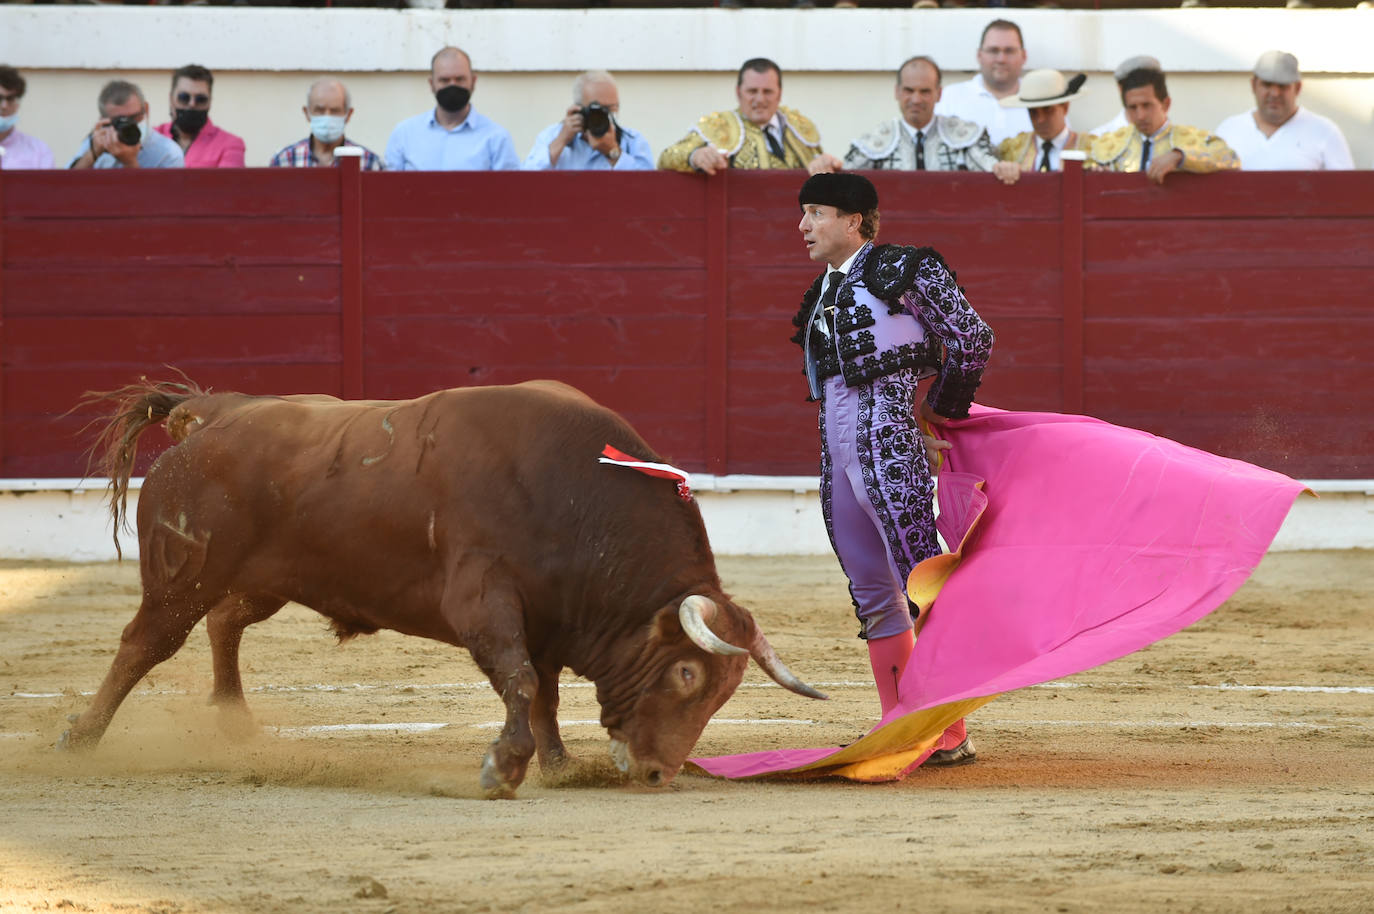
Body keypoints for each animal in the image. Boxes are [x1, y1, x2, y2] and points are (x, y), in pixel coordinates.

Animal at [59, 373, 818, 797]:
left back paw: (234, 721)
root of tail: (211, 414)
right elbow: (518, 679)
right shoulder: (483, 600)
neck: (574, 496)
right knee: (145, 643)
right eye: (688, 675)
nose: (659, 774)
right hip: (182, 575)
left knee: (223, 625)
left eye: (724, 693)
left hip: (268, 578)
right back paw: (80, 739)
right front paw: (503, 769)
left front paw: (556, 763)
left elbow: (542, 690)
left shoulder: (548, 618)